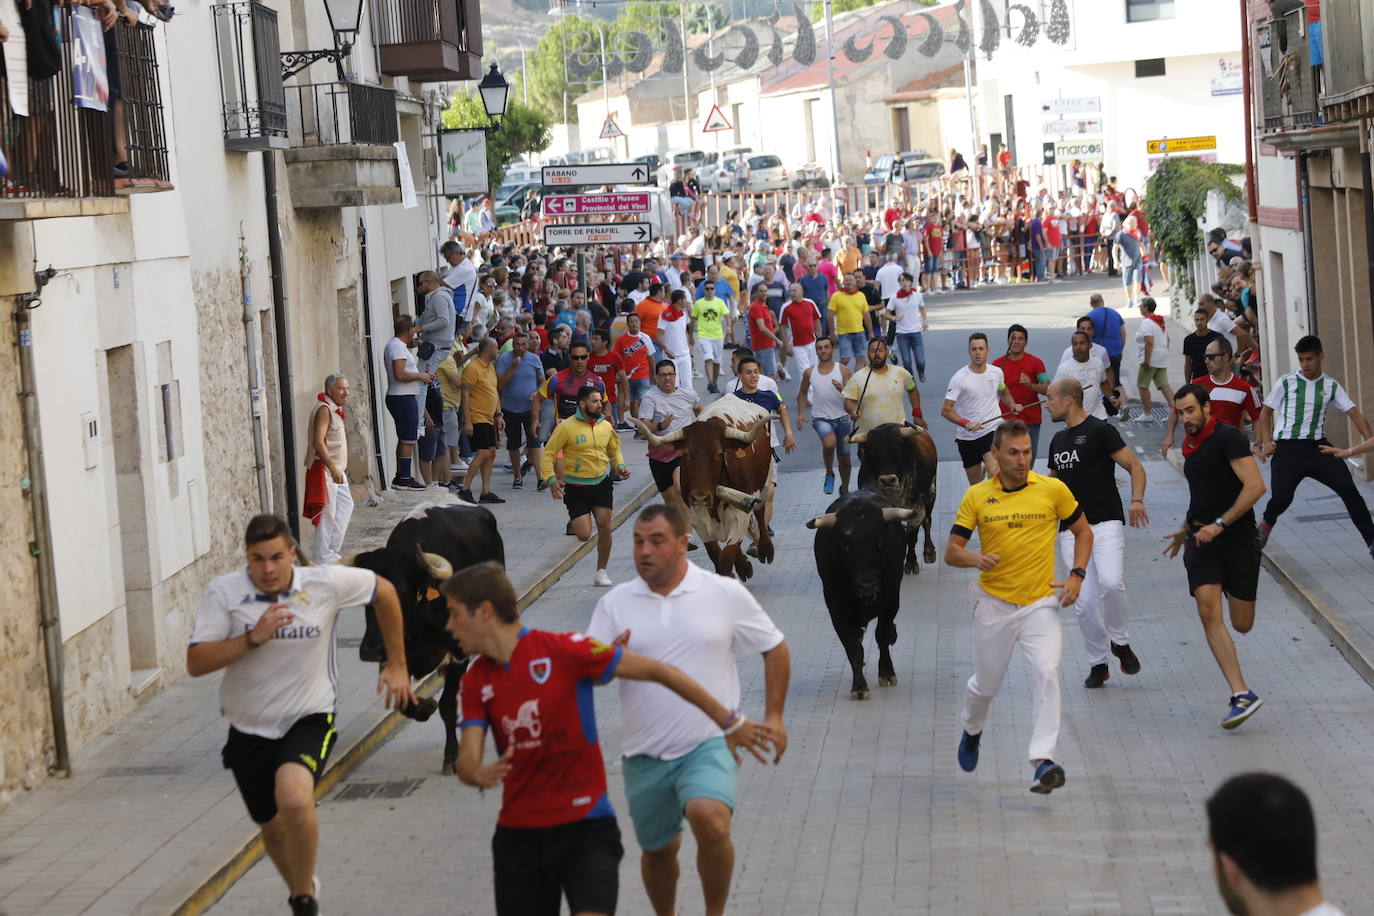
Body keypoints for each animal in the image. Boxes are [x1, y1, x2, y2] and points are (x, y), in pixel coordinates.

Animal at [346, 502, 508, 774]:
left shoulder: (458, 653)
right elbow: (404, 704)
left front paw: (452, 756)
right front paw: (425, 707)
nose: (371, 650)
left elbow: (448, 705)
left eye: (400, 590)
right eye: (367, 592)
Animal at [632, 395, 774, 579]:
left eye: (719, 454)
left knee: (760, 510)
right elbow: (716, 555)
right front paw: (741, 568)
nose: (700, 497)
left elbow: (726, 558)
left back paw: (765, 550)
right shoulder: (696, 519)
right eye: (686, 454)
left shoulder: (740, 516)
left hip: (765, 484)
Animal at [851, 420, 939, 574]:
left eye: (898, 452)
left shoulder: (917, 508)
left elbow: (912, 536)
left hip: (931, 493)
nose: (887, 480)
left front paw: (911, 562)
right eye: (873, 454)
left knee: (927, 521)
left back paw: (929, 551)